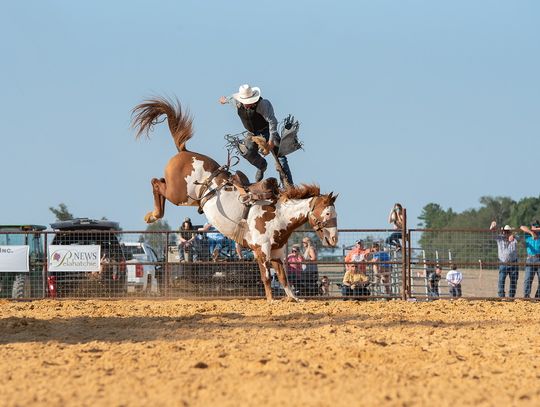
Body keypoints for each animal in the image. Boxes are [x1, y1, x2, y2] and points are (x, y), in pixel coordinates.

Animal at [131, 97, 338, 302]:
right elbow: (266, 277)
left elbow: (283, 277)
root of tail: (184, 151)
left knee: (158, 182)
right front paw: (271, 300)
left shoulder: (277, 253)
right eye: (327, 213)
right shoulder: (261, 250)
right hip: (179, 194)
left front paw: (293, 298)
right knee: (156, 183)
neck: (280, 214)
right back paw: (152, 215)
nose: (334, 239)